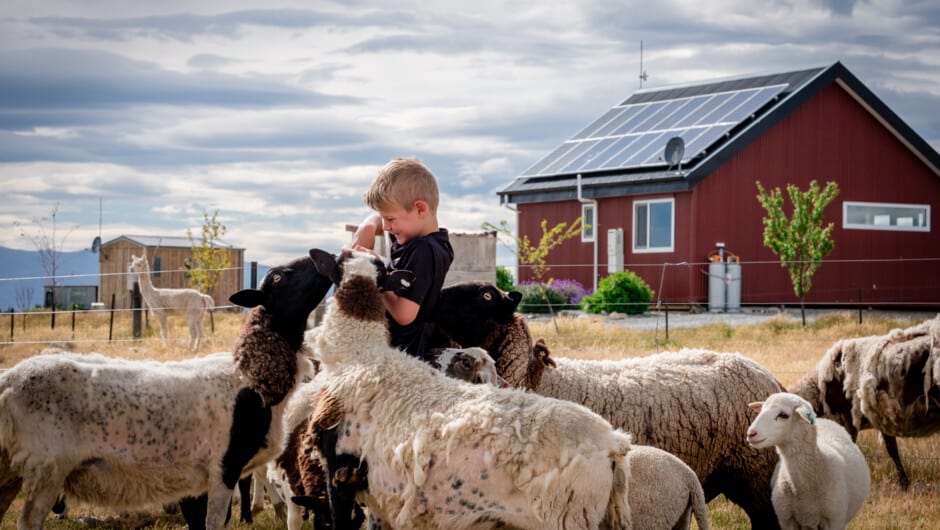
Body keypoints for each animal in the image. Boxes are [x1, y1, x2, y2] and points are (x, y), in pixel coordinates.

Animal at [0, 254, 330, 524]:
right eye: (277, 277)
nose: (320, 256)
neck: (249, 377)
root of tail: (8, 382)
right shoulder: (223, 466)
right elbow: (214, 522)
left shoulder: (203, 479)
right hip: (47, 466)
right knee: (28, 521)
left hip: (11, 470)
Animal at [744, 390, 872, 524]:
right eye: (762, 409)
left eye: (783, 415)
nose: (750, 433)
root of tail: (825, 420)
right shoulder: (786, 520)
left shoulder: (834, 519)